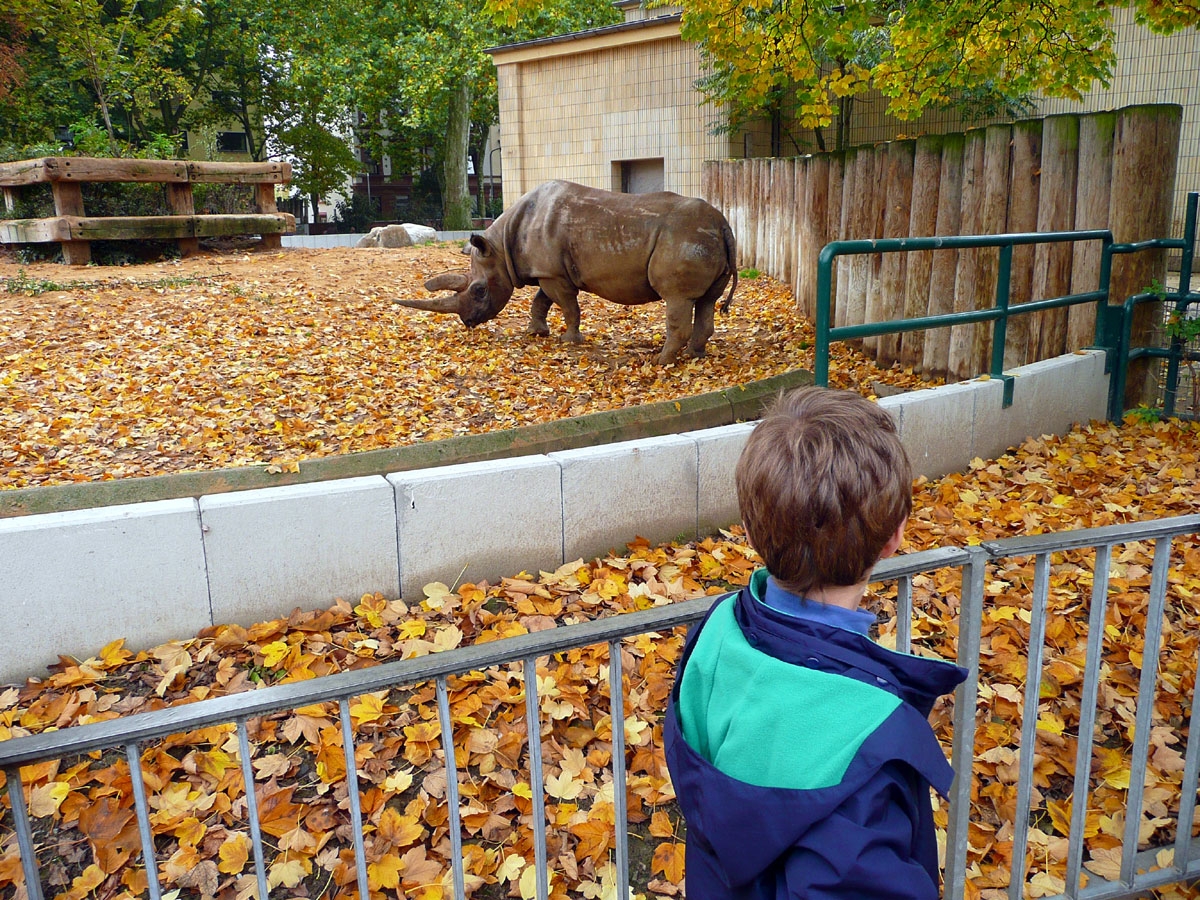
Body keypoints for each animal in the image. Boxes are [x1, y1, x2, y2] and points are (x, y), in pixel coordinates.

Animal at [399, 180, 738, 364]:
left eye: (479, 290)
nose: (468, 322)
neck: (499, 246)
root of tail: (722, 223)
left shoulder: (554, 275)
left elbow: (567, 306)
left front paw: (569, 341)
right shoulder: (548, 271)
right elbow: (540, 301)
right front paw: (536, 332)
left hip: (685, 238)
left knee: (678, 298)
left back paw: (660, 361)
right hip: (706, 239)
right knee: (706, 300)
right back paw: (695, 355)